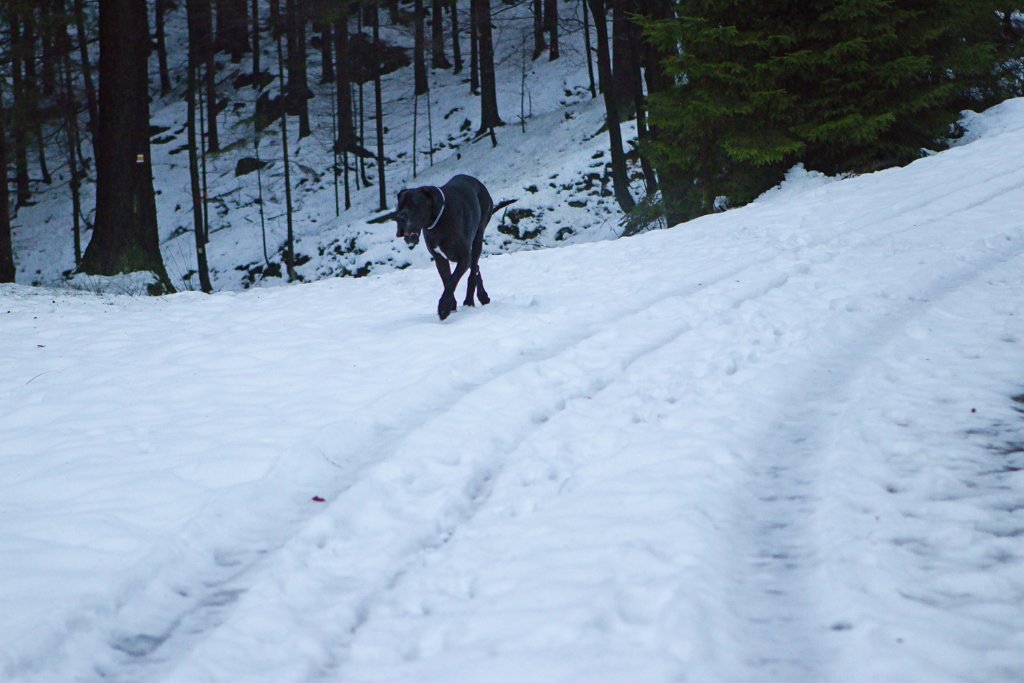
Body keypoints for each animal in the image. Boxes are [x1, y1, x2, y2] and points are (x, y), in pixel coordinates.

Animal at [395, 172, 495, 319]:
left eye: (415, 205)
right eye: (399, 206)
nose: (400, 218)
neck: (439, 220)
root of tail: (479, 183)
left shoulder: (463, 257)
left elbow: (452, 281)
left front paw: (443, 307)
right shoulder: (439, 259)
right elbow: (447, 280)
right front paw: (451, 306)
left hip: (478, 238)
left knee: (472, 272)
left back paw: (469, 301)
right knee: (475, 267)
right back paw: (483, 296)